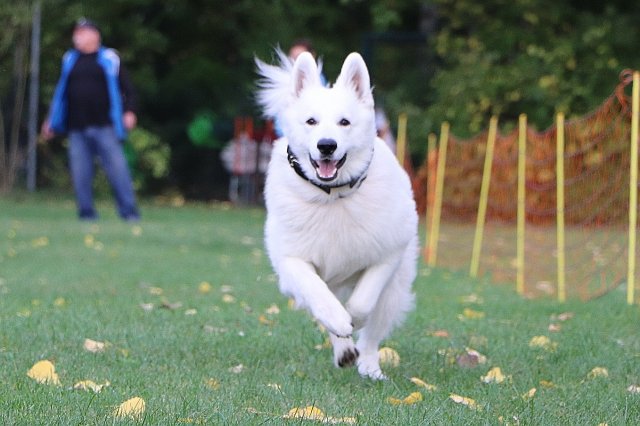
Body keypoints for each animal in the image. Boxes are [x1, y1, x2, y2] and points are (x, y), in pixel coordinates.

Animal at [255, 50, 420, 380]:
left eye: (345, 122)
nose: (326, 145)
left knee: (372, 335)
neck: (332, 196)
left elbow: (363, 302)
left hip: (394, 289)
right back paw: (344, 349)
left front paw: (354, 319)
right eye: (311, 121)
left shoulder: (388, 254)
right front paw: (340, 323)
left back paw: (369, 367)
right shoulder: (292, 261)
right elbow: (319, 295)